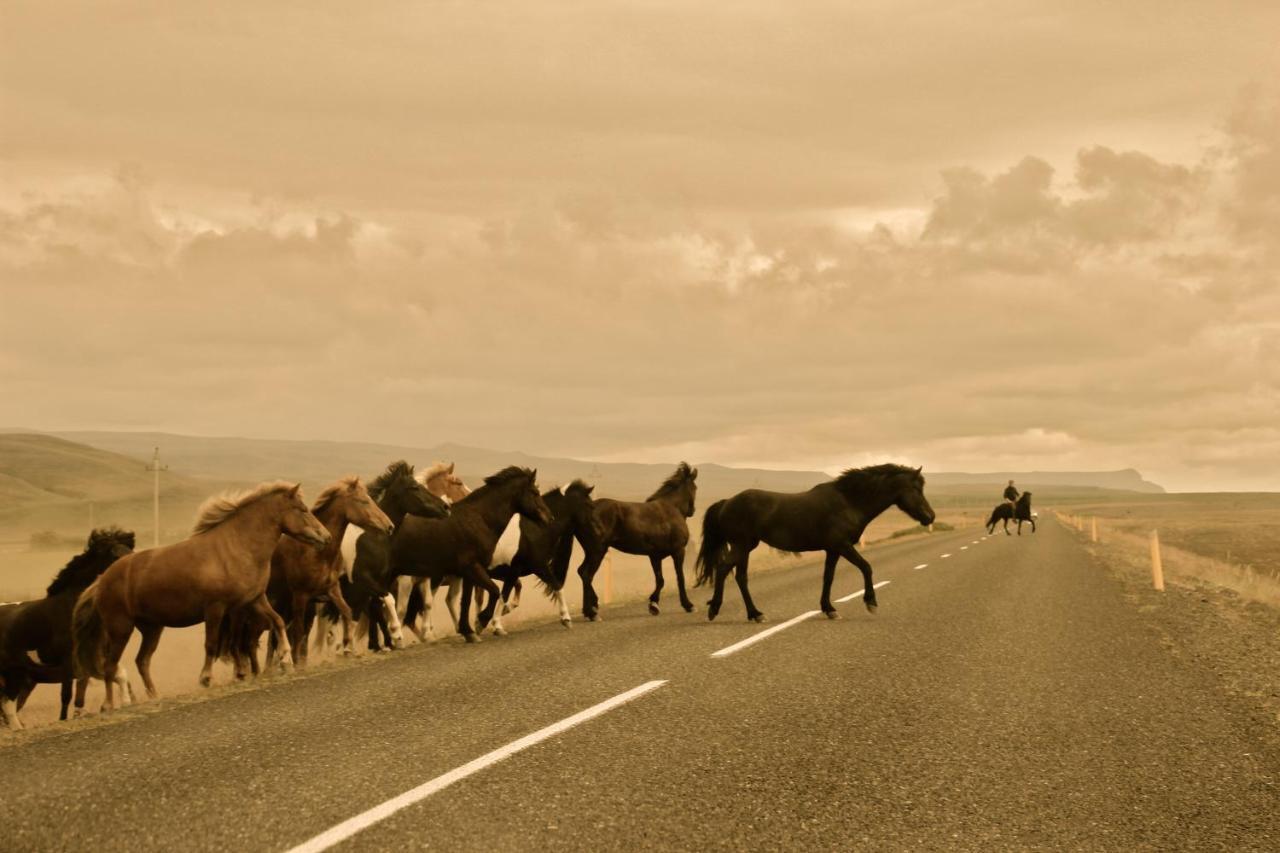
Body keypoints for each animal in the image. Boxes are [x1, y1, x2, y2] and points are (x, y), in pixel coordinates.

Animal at [0, 527, 135, 727]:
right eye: (114, 554)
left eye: (130, 550)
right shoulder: (68, 662)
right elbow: (68, 694)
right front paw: (72, 716)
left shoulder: (94, 657)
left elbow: (117, 675)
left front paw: (122, 703)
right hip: (13, 674)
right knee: (8, 705)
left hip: (18, 675)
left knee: (8, 705)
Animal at [70, 479, 332, 701]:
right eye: (303, 509)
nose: (326, 537)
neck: (235, 548)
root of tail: (102, 580)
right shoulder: (215, 608)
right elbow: (211, 644)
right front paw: (206, 678)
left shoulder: (254, 601)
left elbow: (277, 622)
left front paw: (286, 660)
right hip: (121, 628)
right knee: (110, 666)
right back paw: (110, 705)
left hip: (151, 628)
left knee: (142, 661)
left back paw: (154, 696)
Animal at [578, 461, 701, 622]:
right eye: (695, 487)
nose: (692, 510)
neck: (672, 509)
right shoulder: (678, 551)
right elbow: (680, 578)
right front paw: (688, 605)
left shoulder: (655, 556)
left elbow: (660, 580)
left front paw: (654, 605)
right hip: (597, 551)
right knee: (587, 575)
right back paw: (592, 612)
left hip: (591, 551)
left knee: (582, 572)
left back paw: (590, 609)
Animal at [696, 466, 936, 617]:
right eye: (915, 489)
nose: (930, 517)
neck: (848, 501)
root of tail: (727, 502)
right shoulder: (843, 546)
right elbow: (866, 567)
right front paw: (871, 602)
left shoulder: (833, 550)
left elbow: (827, 578)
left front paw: (829, 609)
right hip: (741, 545)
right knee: (724, 569)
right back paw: (716, 609)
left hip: (745, 547)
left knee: (740, 577)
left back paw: (754, 614)